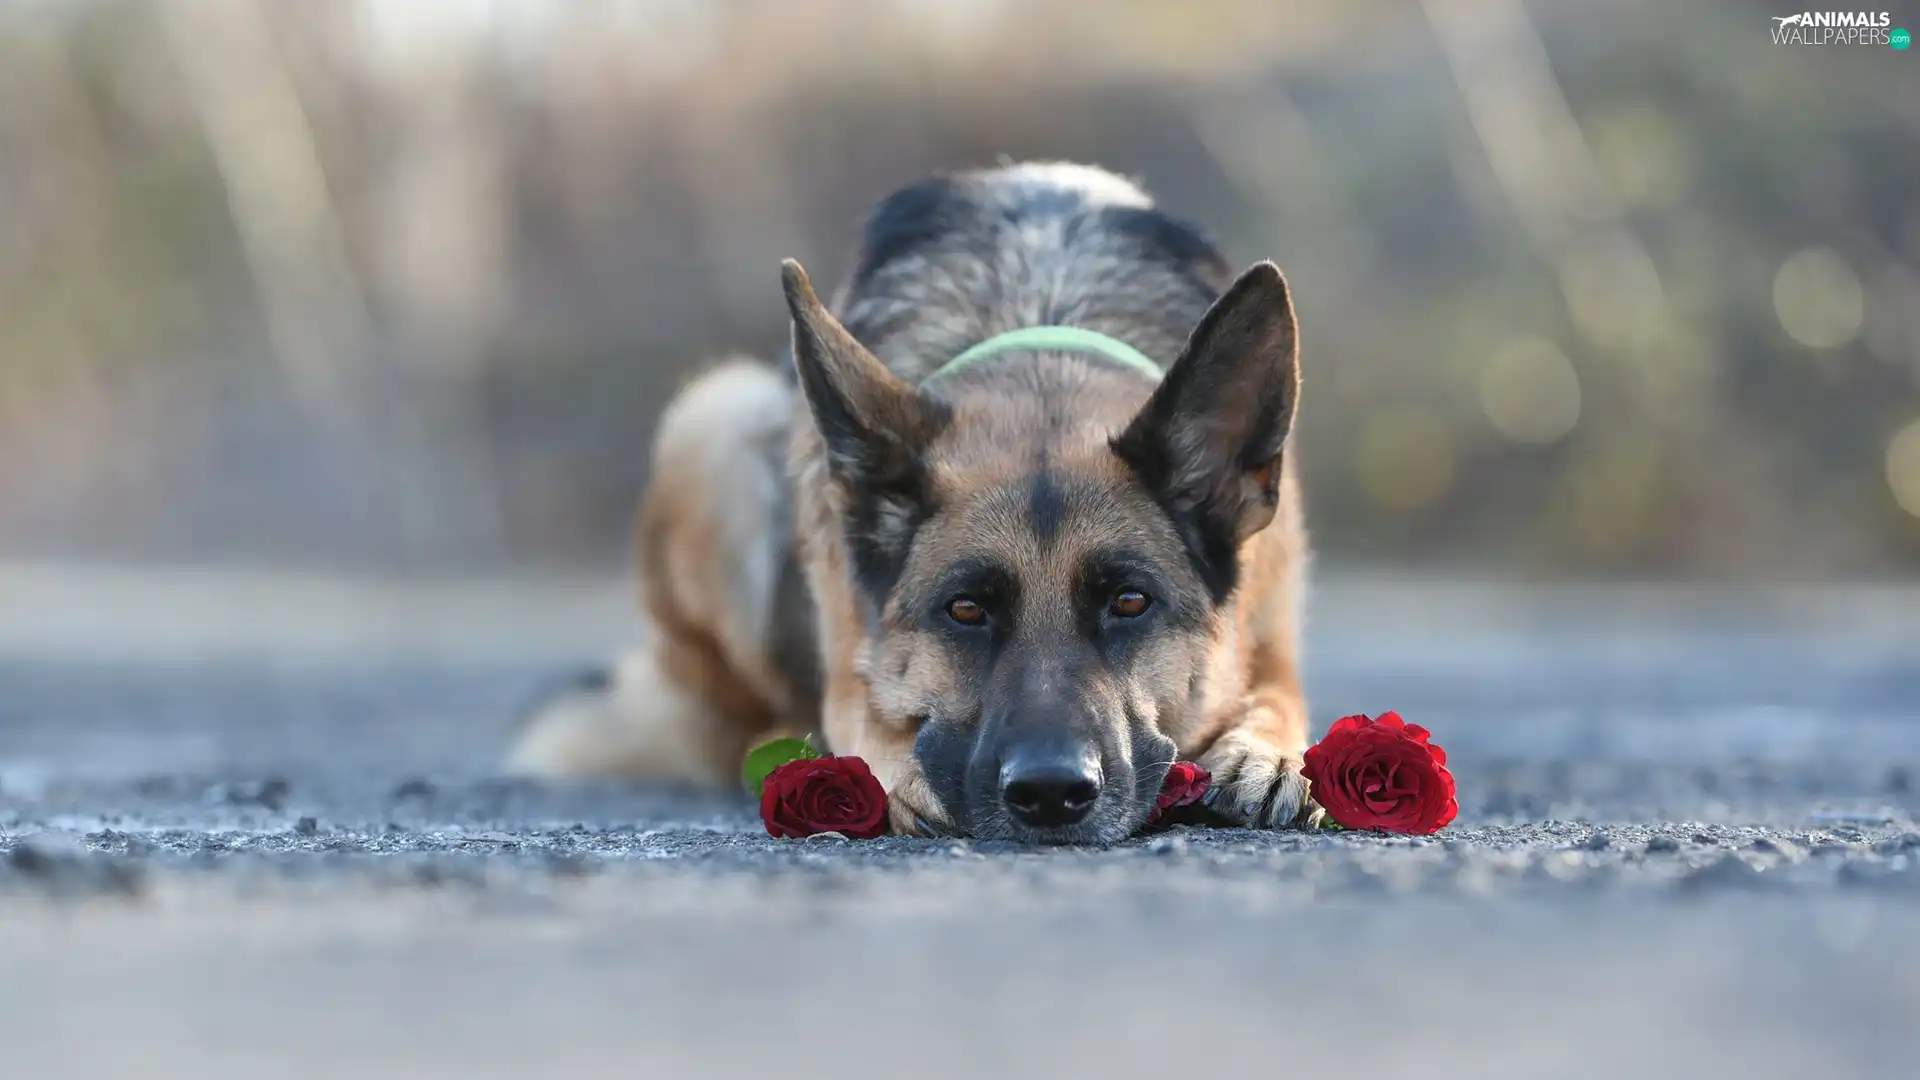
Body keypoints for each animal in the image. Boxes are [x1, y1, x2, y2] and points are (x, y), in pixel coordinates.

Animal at [510, 159, 1320, 841]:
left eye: (1130, 603)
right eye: (964, 610)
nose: (1051, 794)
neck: (1041, 334)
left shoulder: (1269, 634)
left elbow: (1279, 701)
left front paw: (1265, 753)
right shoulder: (850, 666)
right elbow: (871, 719)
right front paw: (899, 772)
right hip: (714, 420)